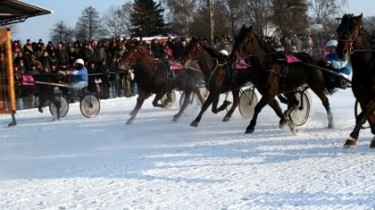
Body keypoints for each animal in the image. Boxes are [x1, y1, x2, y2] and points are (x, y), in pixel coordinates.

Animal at [336, 13, 375, 148]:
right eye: (338, 30)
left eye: (353, 28)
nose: (341, 51)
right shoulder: (362, 97)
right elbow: (366, 116)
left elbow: (363, 115)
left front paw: (352, 137)